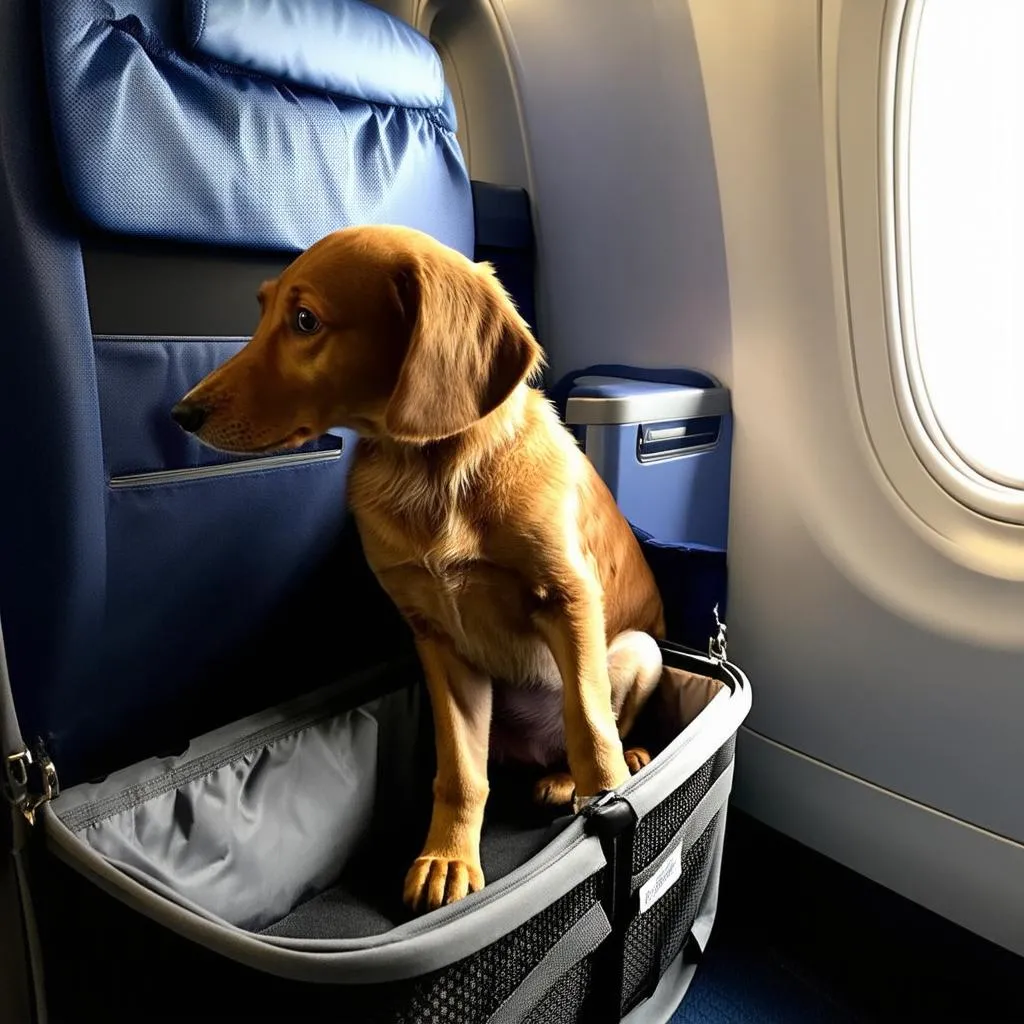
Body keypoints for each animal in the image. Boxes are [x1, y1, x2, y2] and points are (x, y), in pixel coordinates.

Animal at [172, 224, 667, 913]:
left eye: (305, 320)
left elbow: (591, 726)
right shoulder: (436, 639)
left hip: (642, 648)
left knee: (601, 726)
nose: (181, 414)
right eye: (263, 309)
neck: (433, 470)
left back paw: (606, 766)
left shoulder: (568, 599)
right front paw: (448, 857)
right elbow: (460, 773)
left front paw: (613, 797)